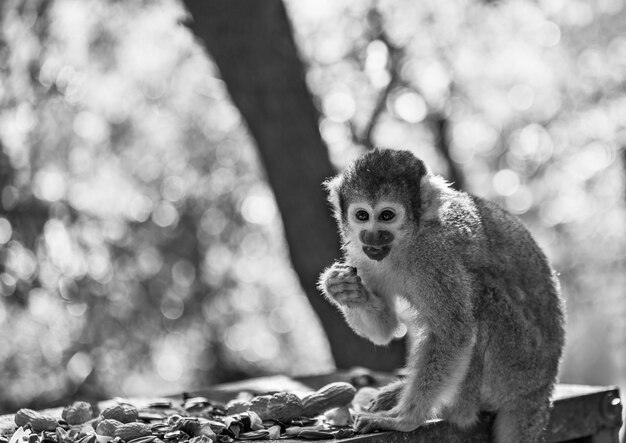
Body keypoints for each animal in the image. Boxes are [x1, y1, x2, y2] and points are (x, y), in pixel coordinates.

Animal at [320, 150, 564, 443]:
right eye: (362, 215)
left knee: (482, 296)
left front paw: (405, 419)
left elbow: (453, 334)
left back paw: (453, 410)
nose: (372, 235)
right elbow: (386, 331)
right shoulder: (361, 254)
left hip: (518, 369)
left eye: (387, 215)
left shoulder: (434, 256)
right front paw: (343, 289)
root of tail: (541, 391)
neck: (407, 241)